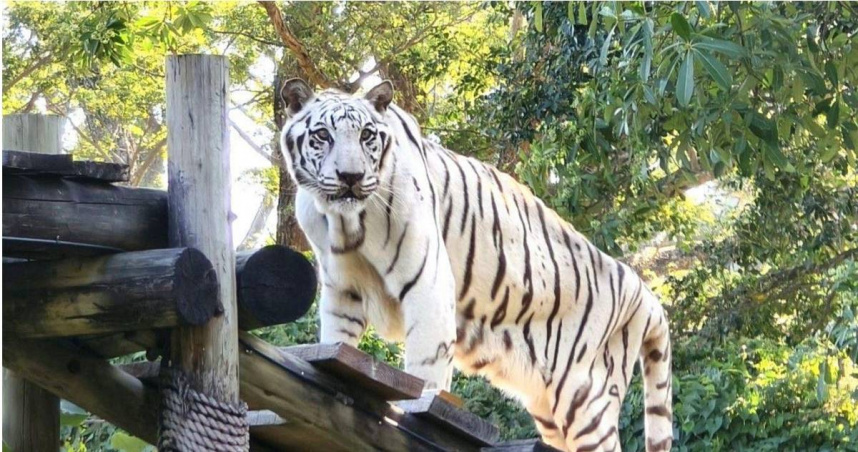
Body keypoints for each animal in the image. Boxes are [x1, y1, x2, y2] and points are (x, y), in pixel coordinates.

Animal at [278, 78, 673, 452]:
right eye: (322, 135)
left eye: (366, 136)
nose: (351, 177)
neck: (345, 223)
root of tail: (645, 293)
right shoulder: (342, 291)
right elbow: (336, 342)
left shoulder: (428, 286)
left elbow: (425, 371)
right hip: (551, 408)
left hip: (586, 397)